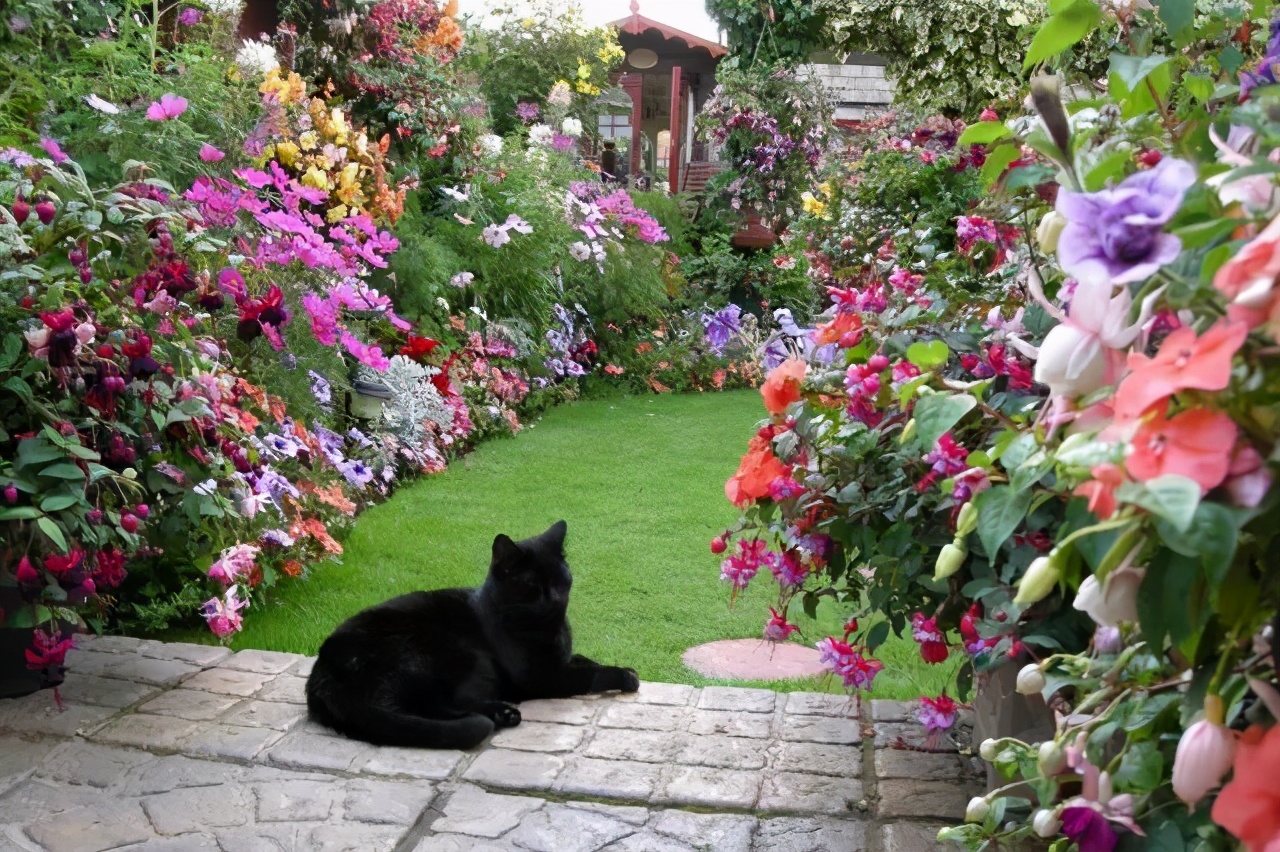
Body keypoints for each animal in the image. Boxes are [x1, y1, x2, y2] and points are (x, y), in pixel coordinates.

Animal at [300, 514, 640, 747]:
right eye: (532, 584)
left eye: (560, 577)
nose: (555, 597)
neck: (551, 628)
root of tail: (323, 674)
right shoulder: (541, 676)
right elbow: (590, 674)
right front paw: (625, 676)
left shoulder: (561, 659)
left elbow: (583, 660)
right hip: (455, 654)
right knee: (435, 703)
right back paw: (503, 714)